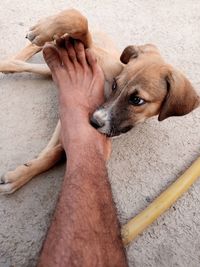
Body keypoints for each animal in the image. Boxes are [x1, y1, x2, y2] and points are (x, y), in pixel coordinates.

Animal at [0, 7, 198, 193]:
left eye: (137, 100)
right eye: (116, 84)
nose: (94, 121)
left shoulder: (72, 106)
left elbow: (56, 153)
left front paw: (22, 174)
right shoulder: (89, 53)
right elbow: (80, 21)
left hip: (50, 68)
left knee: (17, 63)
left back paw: (7, 63)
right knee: (50, 40)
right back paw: (40, 34)